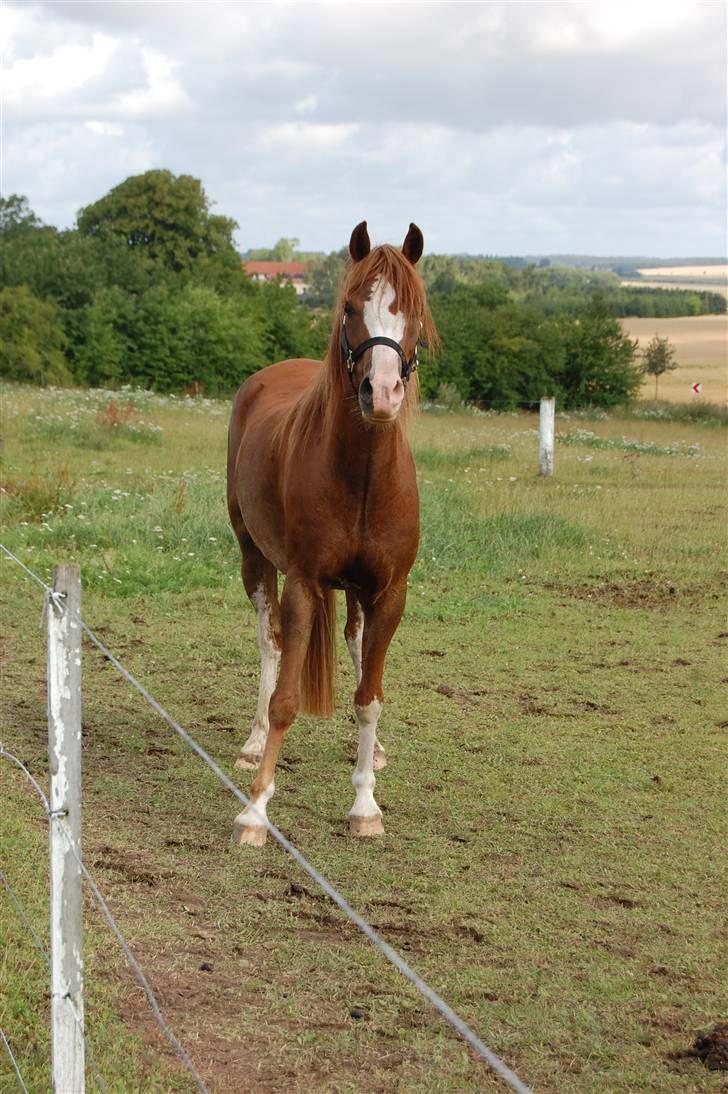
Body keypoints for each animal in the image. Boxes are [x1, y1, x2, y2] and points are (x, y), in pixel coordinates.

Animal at [225, 217, 431, 840]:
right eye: (349, 307)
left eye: (413, 309)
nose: (381, 393)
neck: (361, 477)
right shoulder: (303, 585)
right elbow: (285, 700)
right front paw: (255, 810)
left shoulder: (389, 593)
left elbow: (369, 698)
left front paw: (365, 805)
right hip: (255, 559)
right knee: (268, 645)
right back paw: (251, 744)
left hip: (359, 595)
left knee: (357, 647)